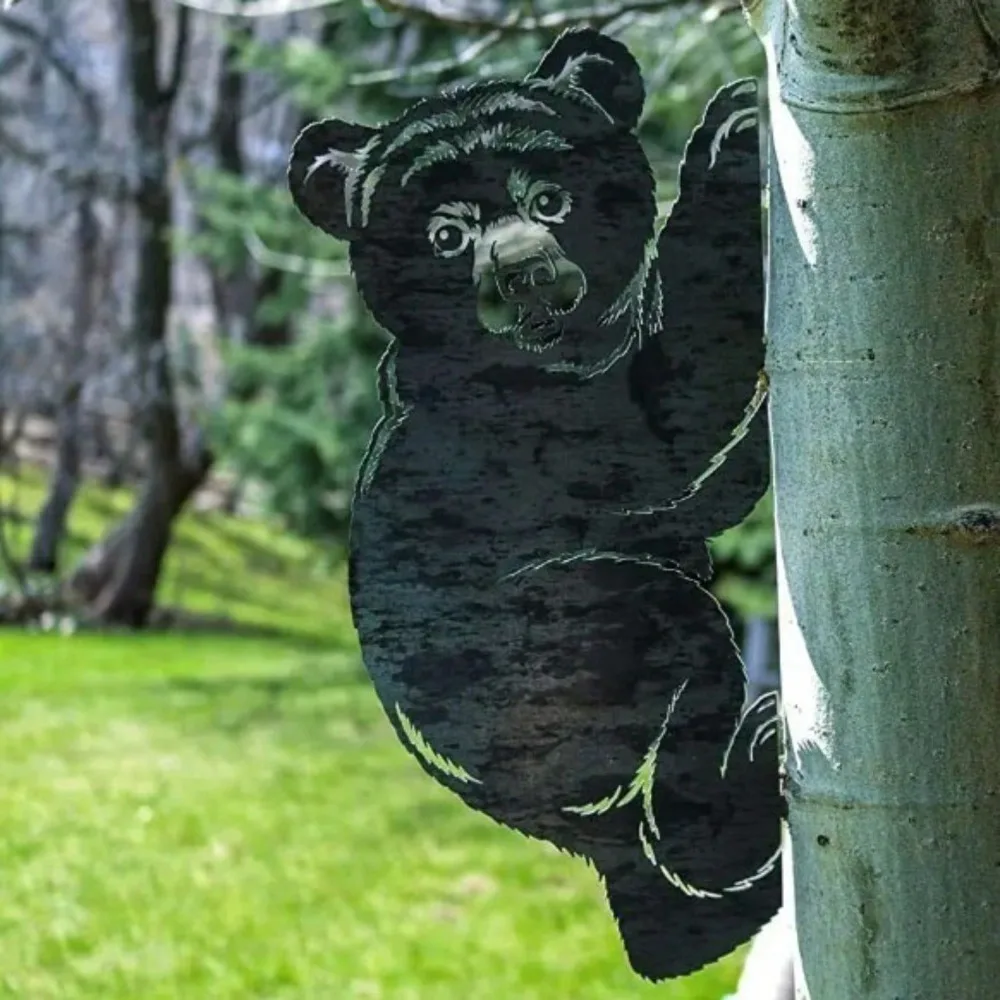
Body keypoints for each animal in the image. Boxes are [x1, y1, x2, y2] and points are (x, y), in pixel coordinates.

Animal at [288, 26, 781, 982]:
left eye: (549, 199)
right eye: (446, 234)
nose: (520, 272)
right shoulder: (612, 451)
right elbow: (693, 396)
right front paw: (734, 129)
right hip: (590, 632)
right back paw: (765, 743)